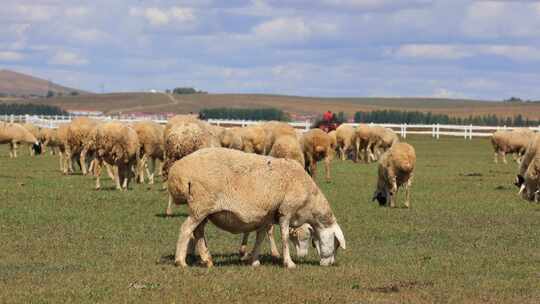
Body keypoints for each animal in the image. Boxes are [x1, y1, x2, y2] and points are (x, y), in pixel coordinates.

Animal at [168, 148, 346, 268]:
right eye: (336, 244)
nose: (330, 263)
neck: (309, 199)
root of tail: (179, 169)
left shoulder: (267, 217)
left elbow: (260, 238)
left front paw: (254, 260)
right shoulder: (285, 211)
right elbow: (284, 238)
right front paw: (289, 263)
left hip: (204, 209)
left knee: (198, 232)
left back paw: (207, 259)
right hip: (200, 206)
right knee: (186, 229)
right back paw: (181, 261)